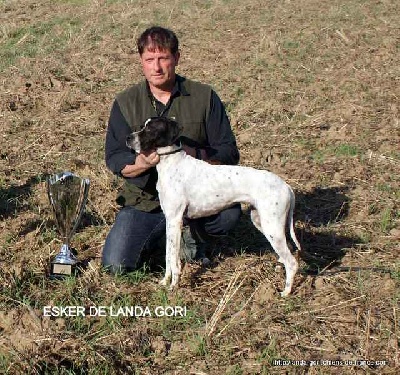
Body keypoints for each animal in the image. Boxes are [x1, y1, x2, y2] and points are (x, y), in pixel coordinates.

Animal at [128, 117, 300, 296]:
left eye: (150, 129)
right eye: (143, 126)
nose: (128, 138)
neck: (172, 164)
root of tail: (286, 186)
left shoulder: (175, 221)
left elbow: (174, 261)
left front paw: (173, 287)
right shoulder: (170, 221)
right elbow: (168, 256)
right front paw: (164, 282)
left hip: (272, 228)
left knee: (292, 262)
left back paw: (286, 292)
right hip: (263, 223)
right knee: (287, 253)